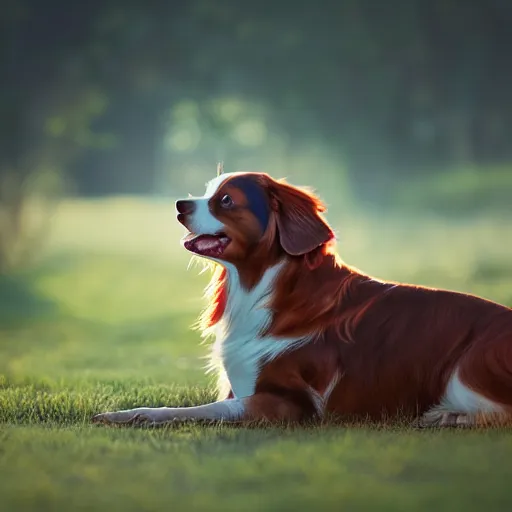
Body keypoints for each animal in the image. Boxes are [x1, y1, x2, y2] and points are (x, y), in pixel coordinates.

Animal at [94, 172, 512, 428]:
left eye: (225, 200)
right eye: (208, 191)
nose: (180, 204)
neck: (264, 286)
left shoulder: (293, 404)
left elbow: (207, 409)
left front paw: (133, 415)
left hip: (468, 365)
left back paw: (451, 417)